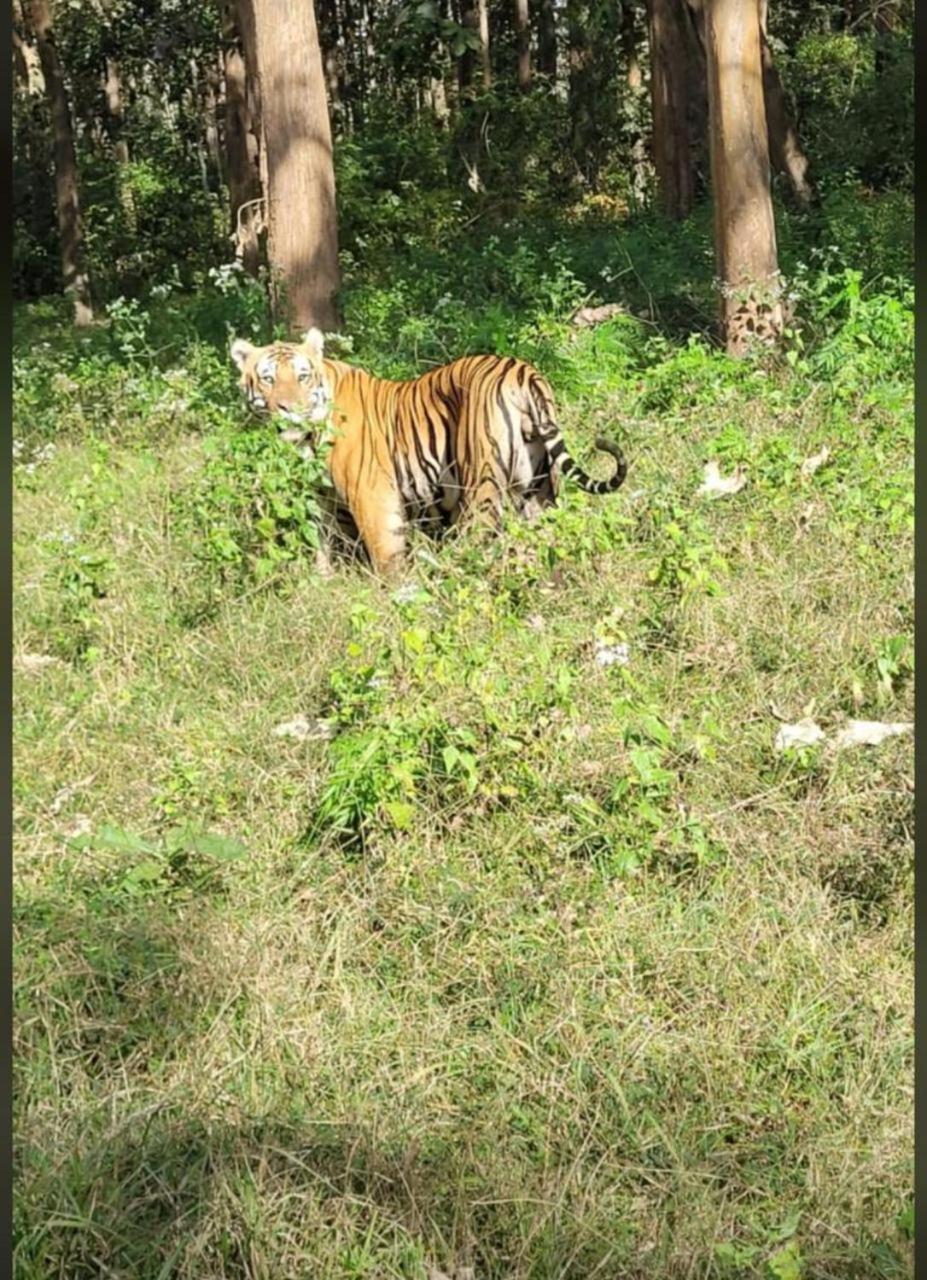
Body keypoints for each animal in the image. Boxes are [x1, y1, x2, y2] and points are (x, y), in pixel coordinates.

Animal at [227, 325, 627, 576]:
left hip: (480, 485)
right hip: (538, 490)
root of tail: (521, 369)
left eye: (302, 375)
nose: (289, 408)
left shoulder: (370, 494)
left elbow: (385, 553)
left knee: (479, 541)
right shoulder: (323, 499)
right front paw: (325, 582)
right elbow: (323, 543)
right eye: (267, 378)